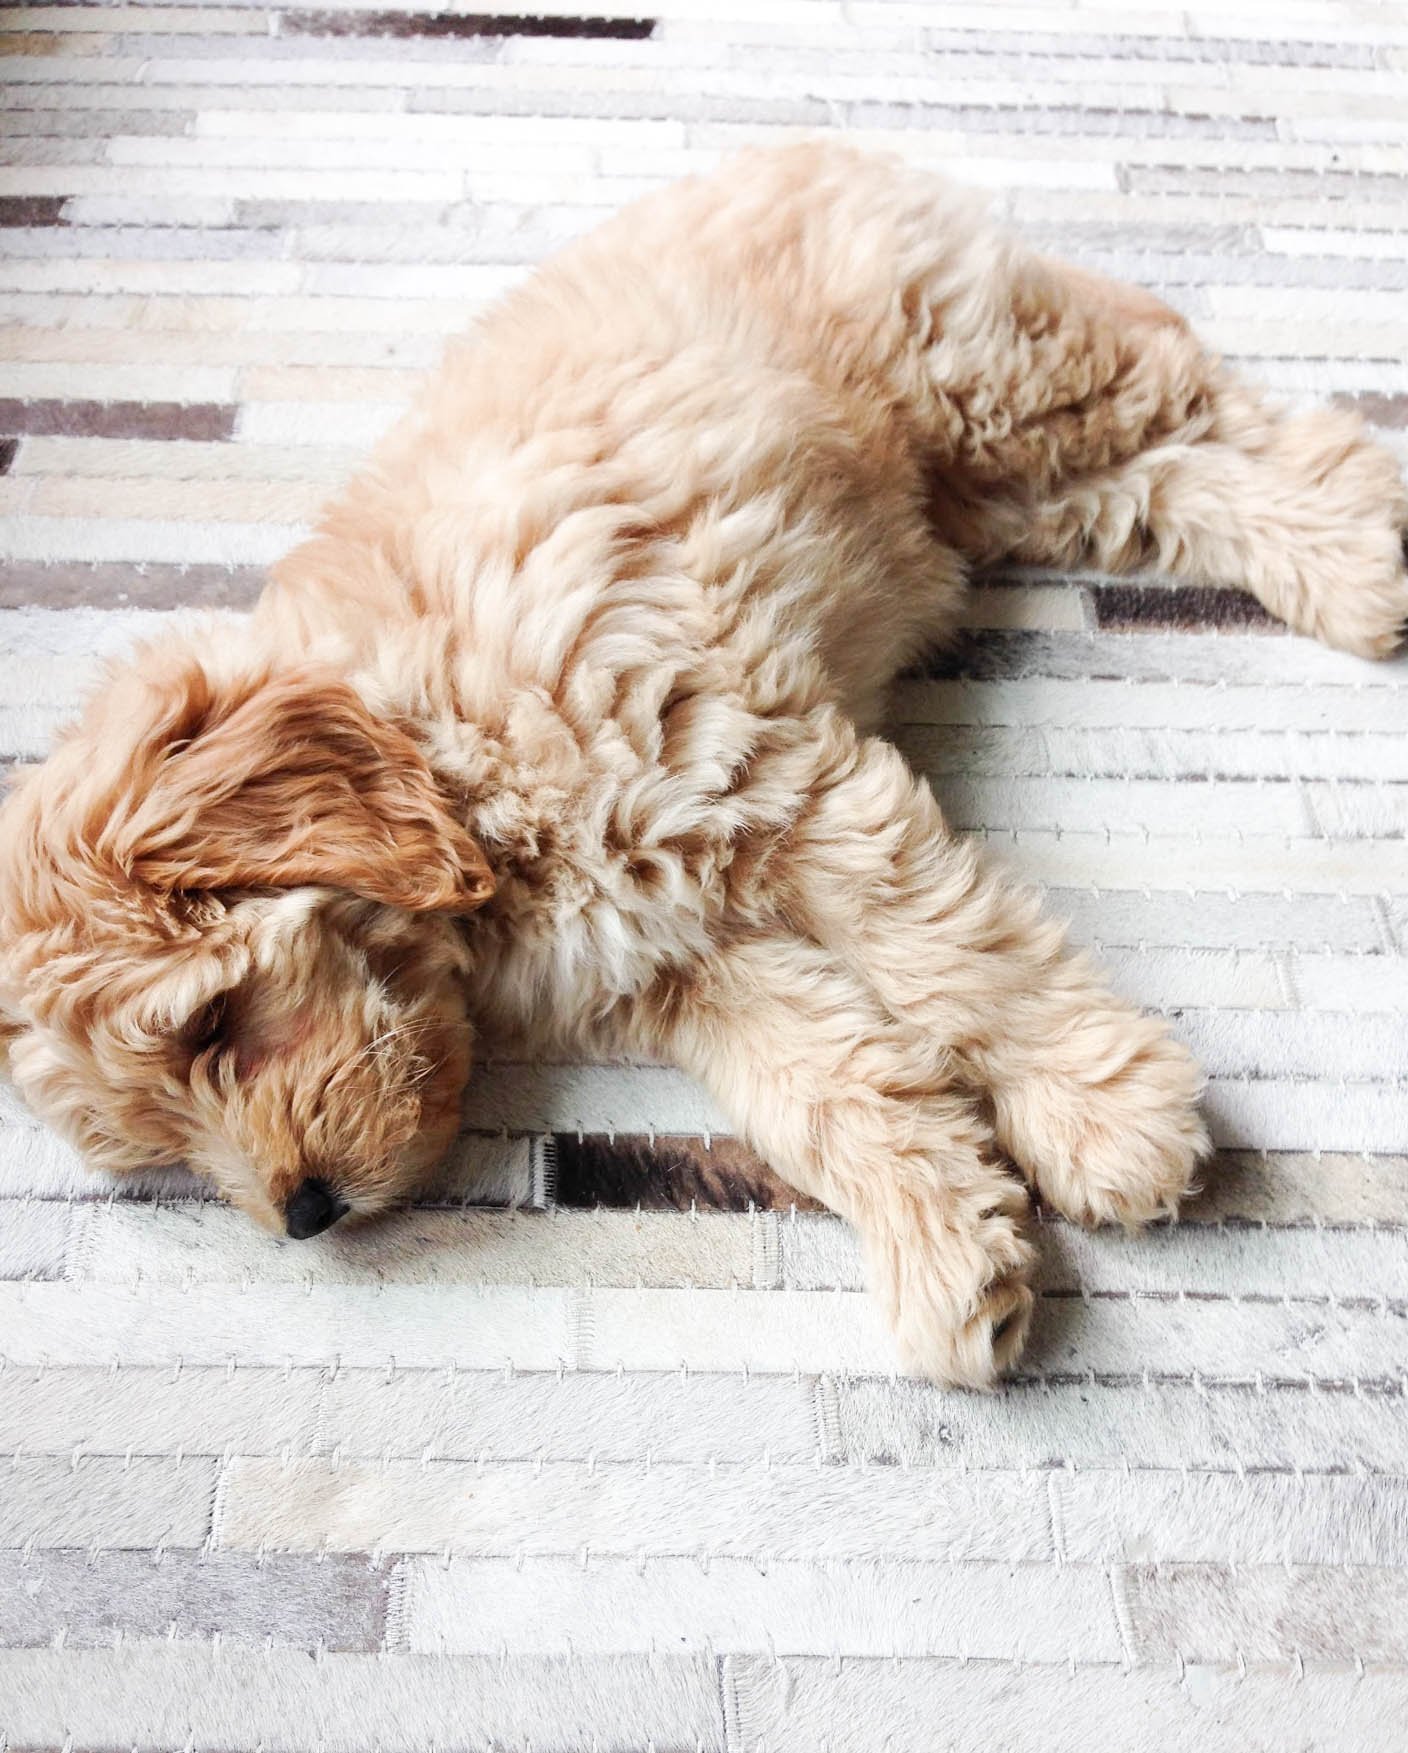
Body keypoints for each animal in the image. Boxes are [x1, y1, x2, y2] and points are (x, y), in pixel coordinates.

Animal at [2, 140, 1408, 1381]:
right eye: (166, 1146)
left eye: (210, 1026)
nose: (302, 1217)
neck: (449, 735)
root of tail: (795, 146)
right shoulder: (684, 961)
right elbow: (825, 1082)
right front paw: (948, 1244)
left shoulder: (764, 777)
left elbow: (953, 960)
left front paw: (1097, 1113)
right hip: (986, 490)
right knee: (1167, 480)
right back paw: (1336, 561)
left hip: (993, 384)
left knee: (1209, 401)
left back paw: (1360, 551)